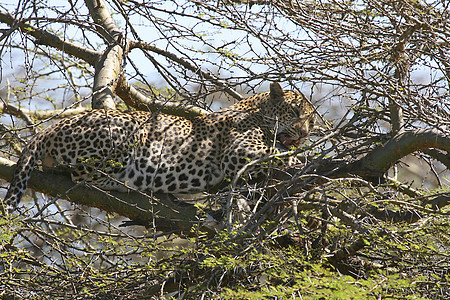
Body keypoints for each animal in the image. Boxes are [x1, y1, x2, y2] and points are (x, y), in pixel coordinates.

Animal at [1, 82, 314, 211]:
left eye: (311, 121)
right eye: (296, 112)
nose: (305, 133)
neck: (257, 109)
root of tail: (52, 127)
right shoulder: (239, 153)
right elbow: (278, 153)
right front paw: (300, 159)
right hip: (124, 132)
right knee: (82, 174)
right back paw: (126, 182)